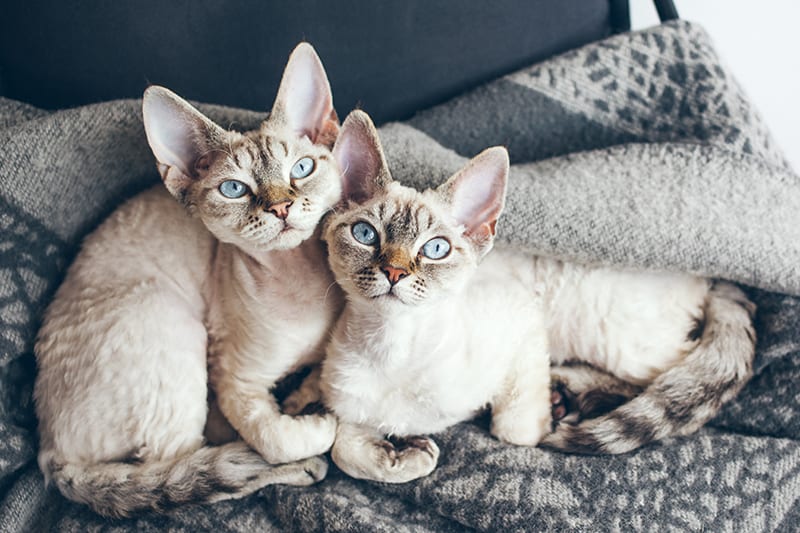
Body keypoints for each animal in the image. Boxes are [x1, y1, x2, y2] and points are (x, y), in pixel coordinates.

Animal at [33, 43, 340, 516]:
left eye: (302, 168)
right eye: (234, 189)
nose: (281, 207)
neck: (298, 283)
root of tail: (49, 451)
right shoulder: (236, 382)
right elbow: (277, 438)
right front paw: (319, 425)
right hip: (171, 324)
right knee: (186, 471)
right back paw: (298, 465)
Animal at [314, 109, 756, 482]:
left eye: (435, 248)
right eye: (366, 234)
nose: (394, 272)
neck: (393, 347)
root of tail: (710, 274)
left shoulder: (523, 319)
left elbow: (515, 431)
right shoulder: (346, 406)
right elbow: (341, 449)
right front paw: (406, 456)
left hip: (612, 337)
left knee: (674, 375)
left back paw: (571, 395)